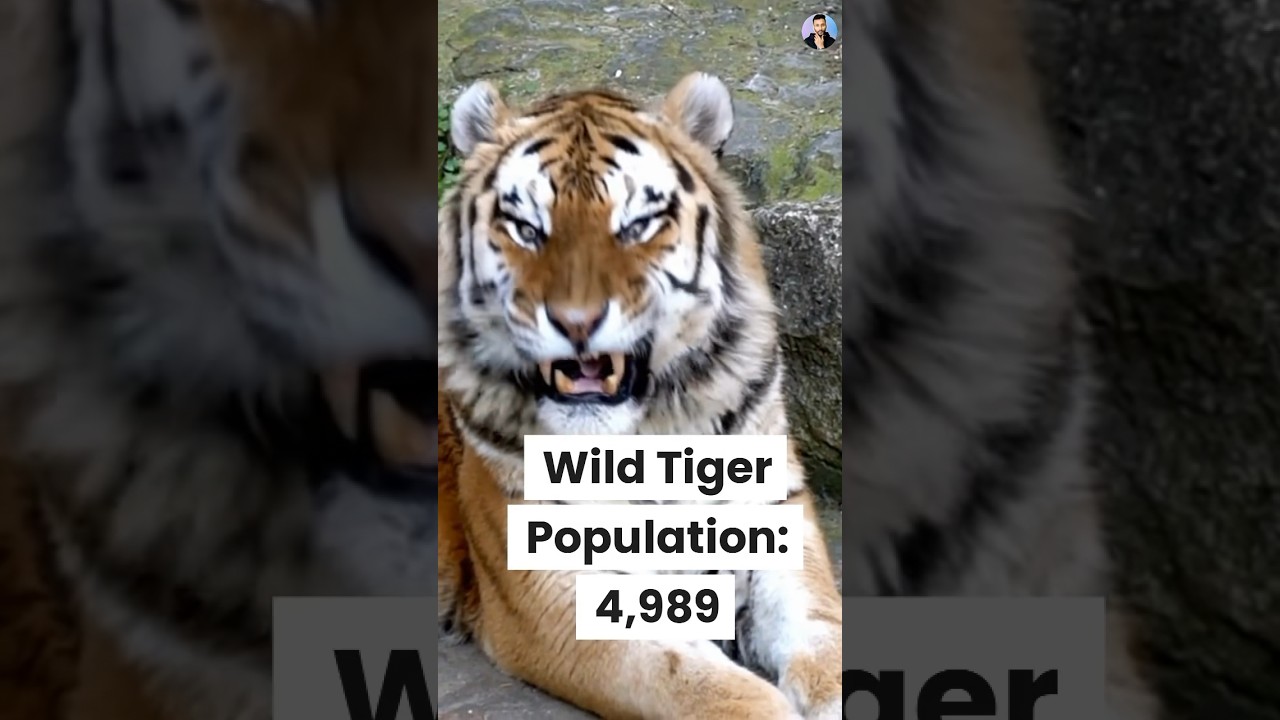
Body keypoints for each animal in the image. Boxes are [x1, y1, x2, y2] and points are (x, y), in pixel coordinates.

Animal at [436, 71, 843, 719]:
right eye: (526, 228)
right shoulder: (559, 593)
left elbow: (825, 642)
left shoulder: (776, 519)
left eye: (638, 224)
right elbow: (707, 684)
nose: (576, 322)